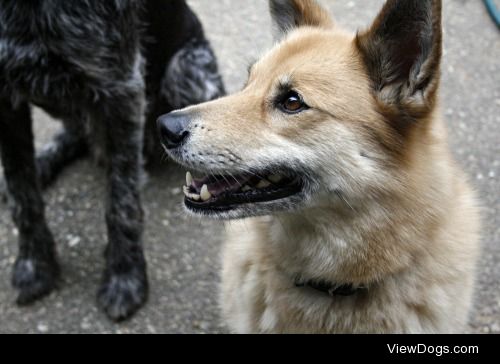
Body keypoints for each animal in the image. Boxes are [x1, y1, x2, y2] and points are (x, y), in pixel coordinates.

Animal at [0, 0, 224, 322]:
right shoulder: (5, 97)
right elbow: (23, 194)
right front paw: (35, 265)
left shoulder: (121, 89)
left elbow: (122, 204)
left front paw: (125, 276)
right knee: (76, 134)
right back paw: (44, 161)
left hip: (187, 73)